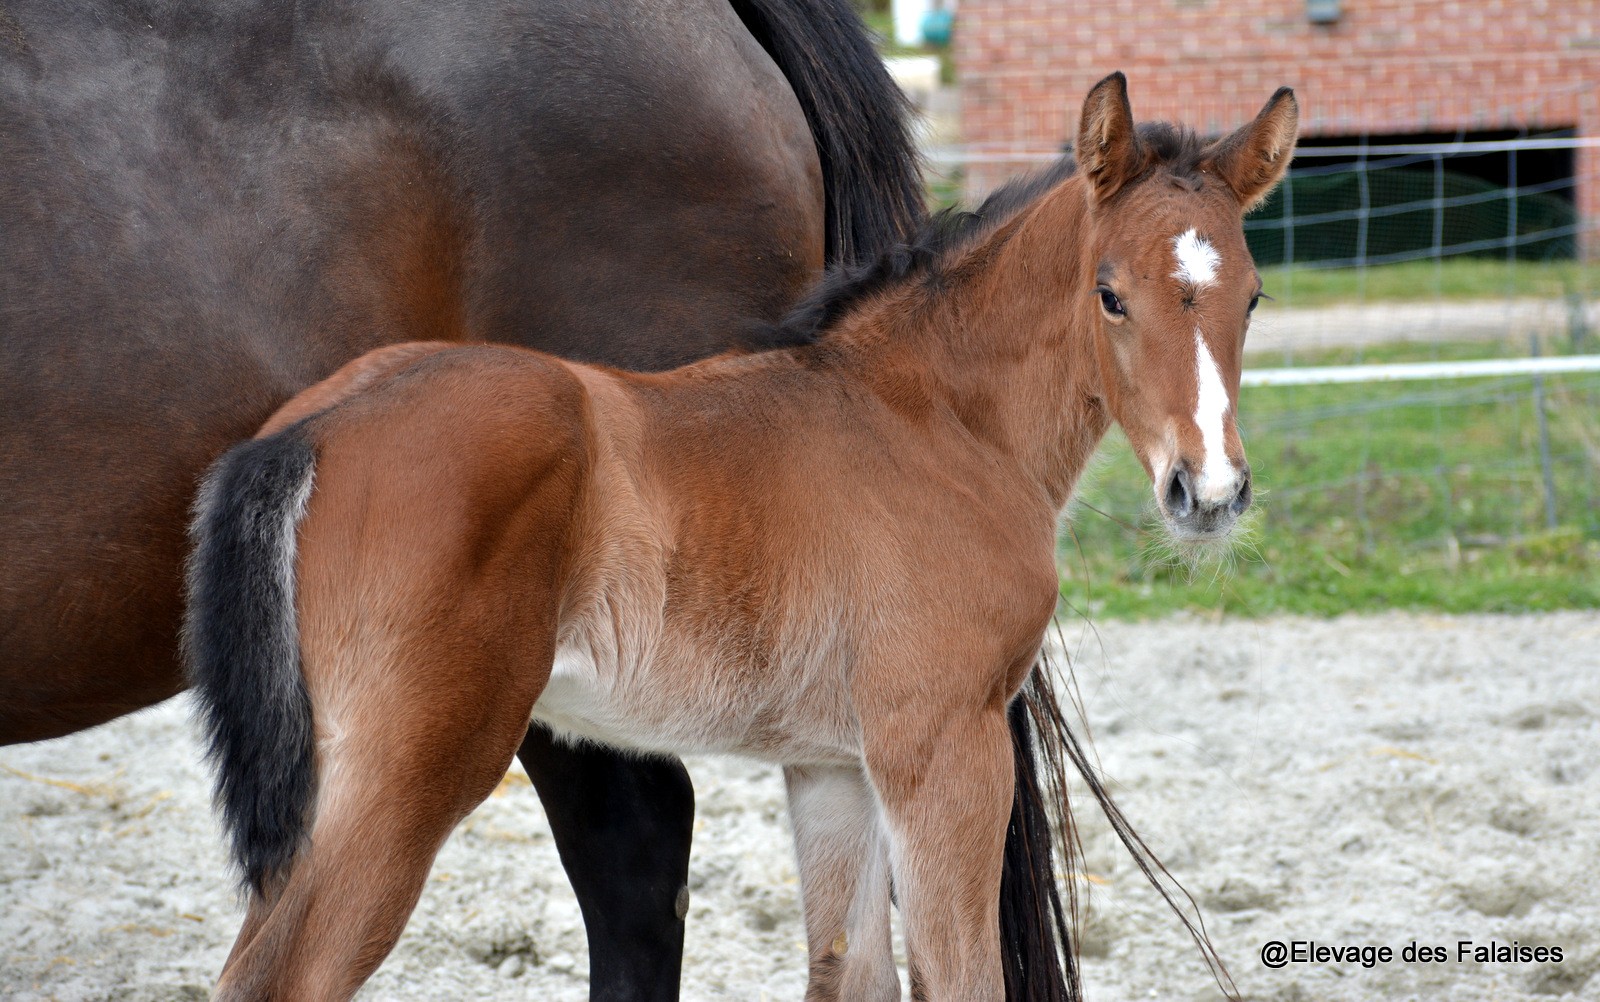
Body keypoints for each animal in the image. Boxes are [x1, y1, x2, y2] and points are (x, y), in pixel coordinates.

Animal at [187, 74, 1292, 992]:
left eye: (1251, 296)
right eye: (1110, 294)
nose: (1209, 490)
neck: (931, 420)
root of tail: (312, 428)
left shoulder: (834, 766)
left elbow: (848, 972)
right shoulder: (943, 746)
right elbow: (958, 974)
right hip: (407, 774)